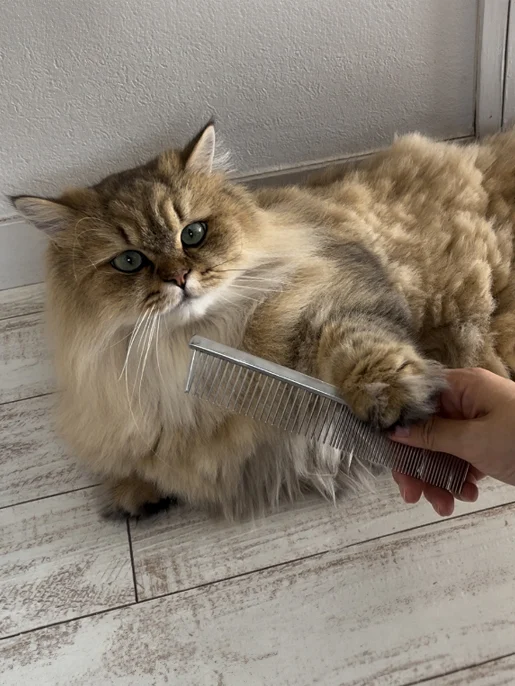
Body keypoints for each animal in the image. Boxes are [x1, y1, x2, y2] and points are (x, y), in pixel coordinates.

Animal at [12, 122, 515, 518]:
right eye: (130, 261)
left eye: (193, 234)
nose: (179, 278)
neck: (191, 344)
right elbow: (151, 466)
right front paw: (134, 492)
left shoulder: (338, 297)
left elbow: (357, 345)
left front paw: (387, 397)